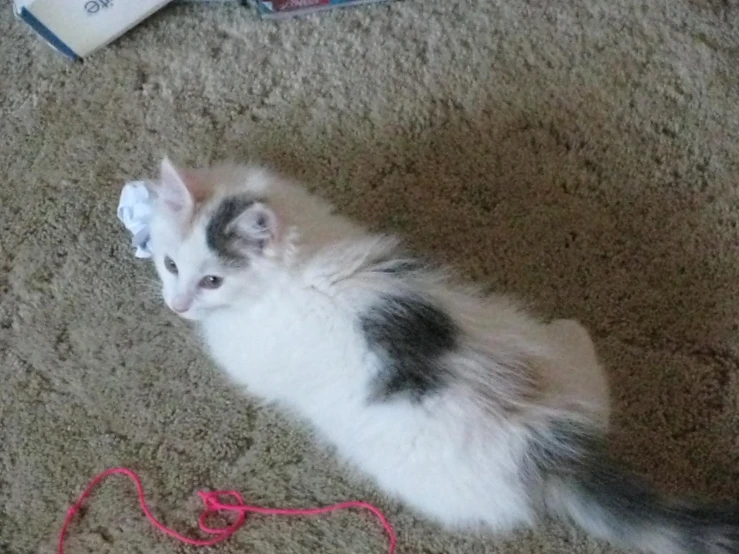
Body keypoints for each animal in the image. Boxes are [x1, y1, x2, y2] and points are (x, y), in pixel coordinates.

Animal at [147, 156, 736, 552]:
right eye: (170, 265)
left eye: (213, 280)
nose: (176, 305)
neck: (302, 264)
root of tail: (547, 444)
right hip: (555, 355)